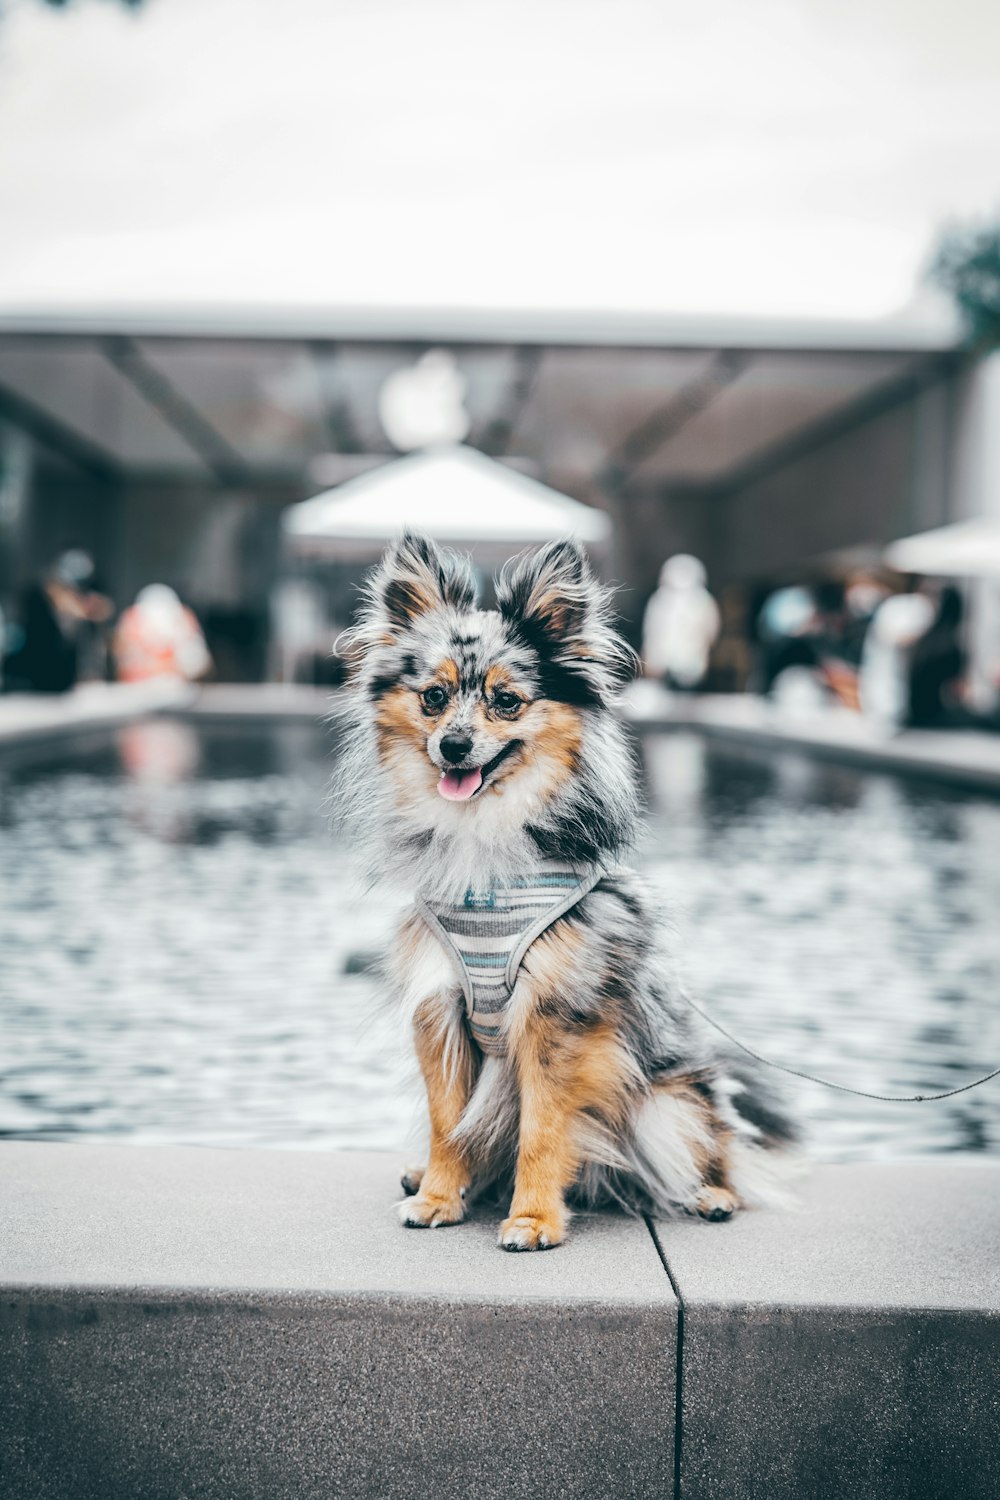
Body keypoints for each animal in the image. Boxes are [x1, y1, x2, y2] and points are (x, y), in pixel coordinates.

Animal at [340, 534, 791, 1248]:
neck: (483, 849)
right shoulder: (440, 1007)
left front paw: (532, 1219)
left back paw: (711, 1194)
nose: (453, 745)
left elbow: (543, 1130)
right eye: (433, 696)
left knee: (713, 1150)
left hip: (669, 1102)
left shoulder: (555, 1017)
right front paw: (439, 1196)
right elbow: (448, 1122)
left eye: (507, 701)